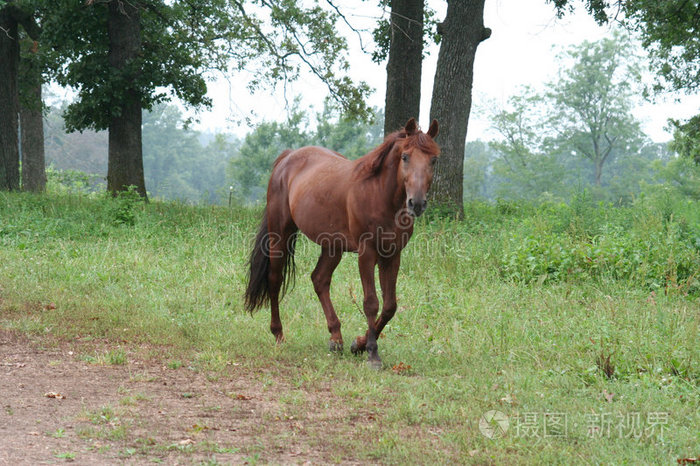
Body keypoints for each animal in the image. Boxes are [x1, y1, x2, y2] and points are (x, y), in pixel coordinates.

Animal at [245, 116, 438, 368]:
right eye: (405, 157)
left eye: (433, 159)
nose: (417, 203)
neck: (379, 194)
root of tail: (287, 157)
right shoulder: (367, 253)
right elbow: (371, 302)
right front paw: (372, 353)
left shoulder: (392, 255)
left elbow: (390, 306)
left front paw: (359, 344)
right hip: (280, 234)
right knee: (275, 279)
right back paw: (278, 334)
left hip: (332, 246)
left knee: (320, 279)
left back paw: (336, 338)